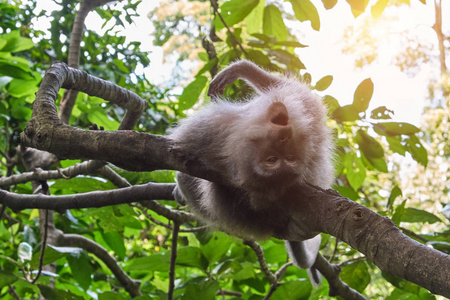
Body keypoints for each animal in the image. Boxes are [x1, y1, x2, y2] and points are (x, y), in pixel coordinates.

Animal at [169, 59, 334, 286]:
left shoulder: (211, 131)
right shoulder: (309, 113)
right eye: (275, 159)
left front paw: (242, 68)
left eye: (281, 159)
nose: (284, 133)